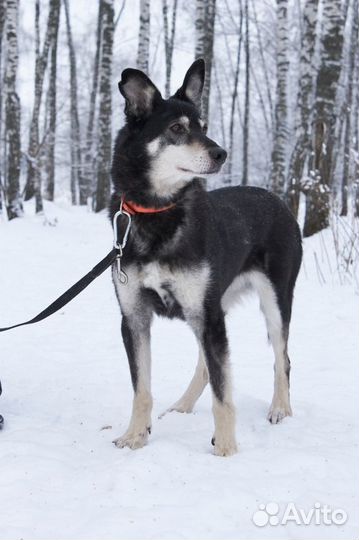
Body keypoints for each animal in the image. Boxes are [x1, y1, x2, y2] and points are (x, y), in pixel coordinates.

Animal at [109, 59, 304, 456]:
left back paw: (280, 408)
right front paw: (135, 437)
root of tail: (278, 201)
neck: (158, 212)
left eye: (204, 127)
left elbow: (223, 395)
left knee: (282, 359)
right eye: (177, 129)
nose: (221, 154)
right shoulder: (134, 318)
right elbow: (142, 390)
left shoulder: (208, 317)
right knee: (205, 366)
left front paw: (226, 449)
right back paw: (183, 405)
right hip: (212, 307)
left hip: (273, 302)